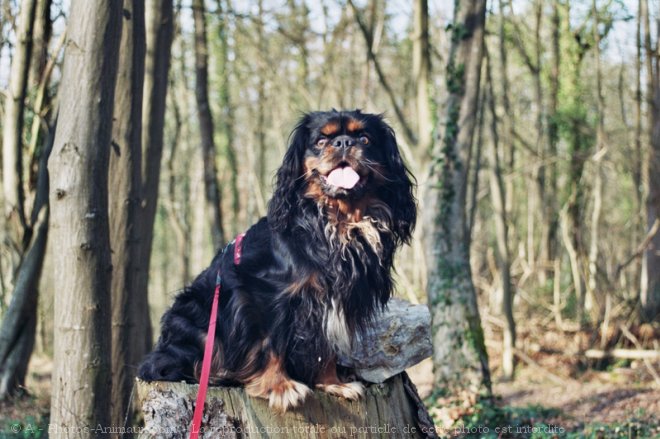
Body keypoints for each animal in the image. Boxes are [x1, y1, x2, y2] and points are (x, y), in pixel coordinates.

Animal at [139, 110, 416, 412]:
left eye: (365, 139)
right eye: (320, 141)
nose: (343, 142)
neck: (339, 222)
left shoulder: (327, 300)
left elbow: (325, 346)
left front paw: (333, 383)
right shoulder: (265, 296)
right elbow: (270, 343)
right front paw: (280, 387)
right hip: (194, 318)